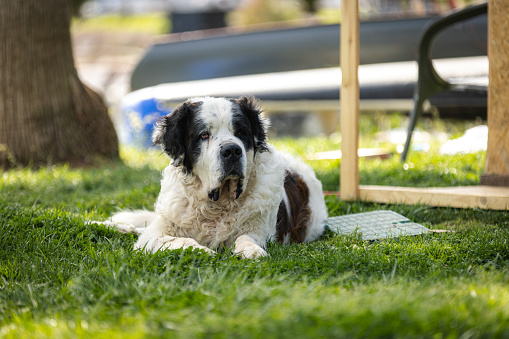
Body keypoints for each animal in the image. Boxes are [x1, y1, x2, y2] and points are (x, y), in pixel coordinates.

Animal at [104, 96, 326, 260]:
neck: (217, 205)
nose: (232, 150)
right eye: (204, 135)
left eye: (241, 132)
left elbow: (247, 237)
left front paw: (251, 250)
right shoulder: (153, 236)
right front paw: (201, 250)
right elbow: (178, 240)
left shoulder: (261, 229)